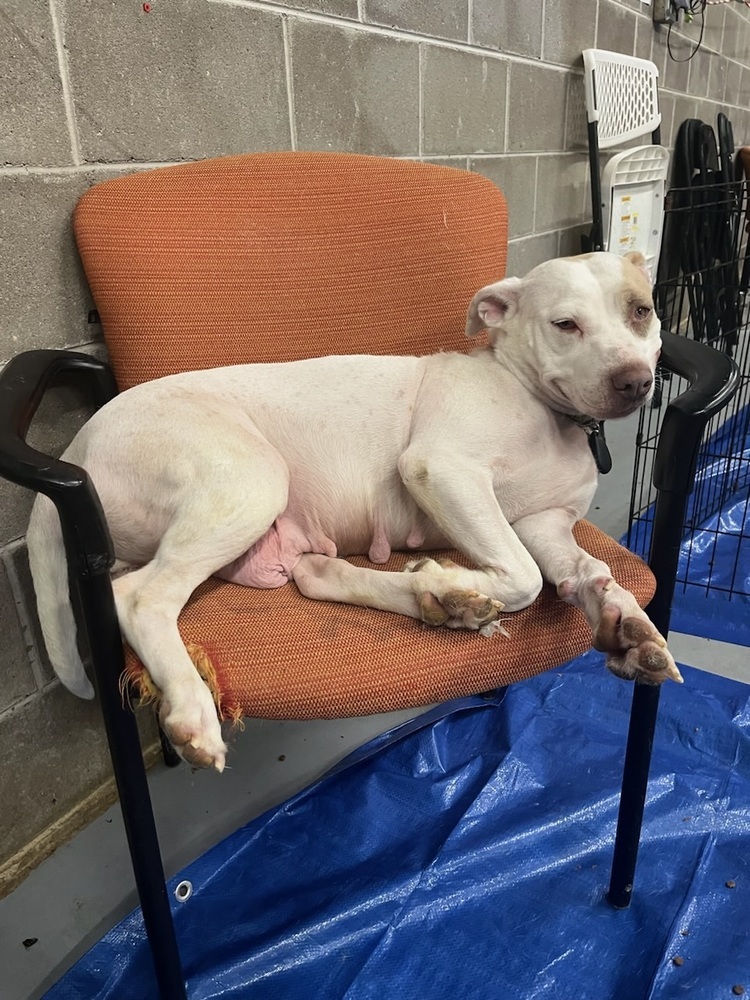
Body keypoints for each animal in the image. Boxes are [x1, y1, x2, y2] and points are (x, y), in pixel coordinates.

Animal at [27, 252, 680, 772]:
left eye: (640, 311)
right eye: (565, 325)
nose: (634, 382)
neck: (545, 410)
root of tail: (77, 444)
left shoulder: (540, 524)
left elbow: (587, 572)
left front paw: (627, 624)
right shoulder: (442, 467)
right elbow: (523, 577)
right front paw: (470, 579)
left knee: (315, 576)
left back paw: (443, 599)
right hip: (250, 480)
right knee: (141, 597)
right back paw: (191, 707)